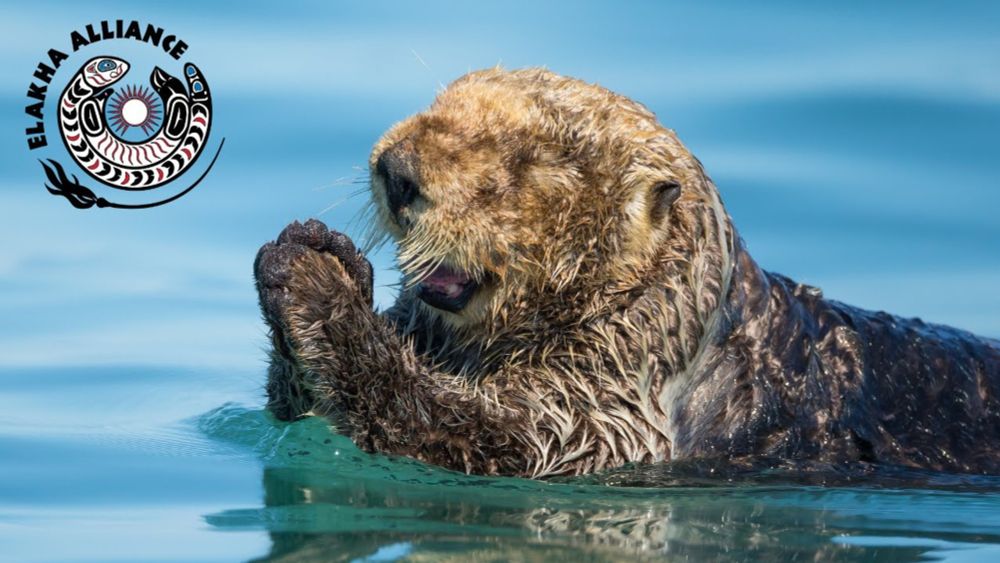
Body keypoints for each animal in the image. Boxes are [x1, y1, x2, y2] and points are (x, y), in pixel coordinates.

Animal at [256, 68, 1000, 478]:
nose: (397, 169)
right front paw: (319, 248)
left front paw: (320, 288)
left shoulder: (609, 406)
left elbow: (486, 436)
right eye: (439, 104)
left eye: (530, 162)